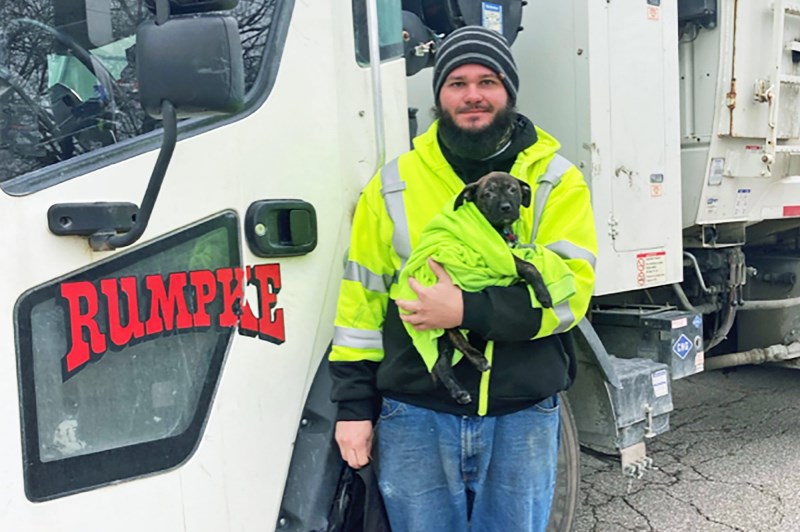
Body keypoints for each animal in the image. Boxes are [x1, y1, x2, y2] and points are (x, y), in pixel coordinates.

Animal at [432, 172, 556, 406]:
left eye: (512, 189)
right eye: (487, 194)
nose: (506, 207)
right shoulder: (497, 254)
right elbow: (529, 266)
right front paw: (543, 294)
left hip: (444, 340)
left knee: (440, 364)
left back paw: (458, 391)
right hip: (448, 319)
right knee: (459, 341)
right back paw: (479, 360)